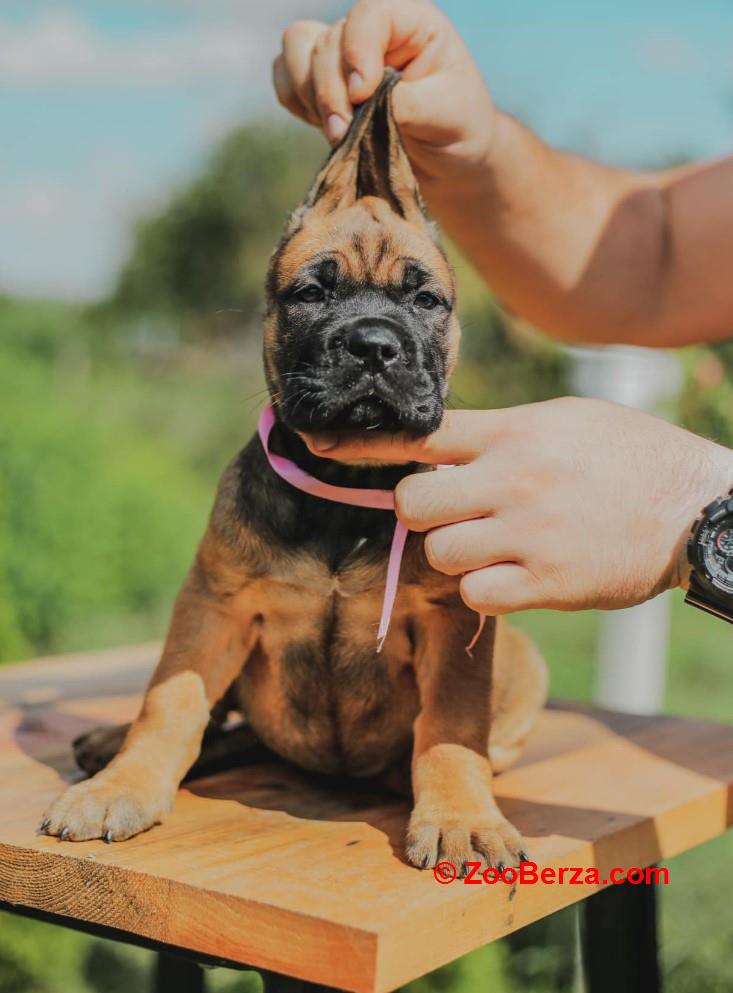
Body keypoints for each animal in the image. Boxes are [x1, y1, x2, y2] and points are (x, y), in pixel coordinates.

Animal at [38, 73, 544, 872]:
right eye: (311, 293)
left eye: (424, 300)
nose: (373, 345)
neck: (346, 489)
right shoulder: (213, 607)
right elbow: (169, 701)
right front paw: (124, 784)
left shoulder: (454, 620)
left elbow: (450, 729)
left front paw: (462, 814)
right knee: (219, 719)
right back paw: (109, 745)